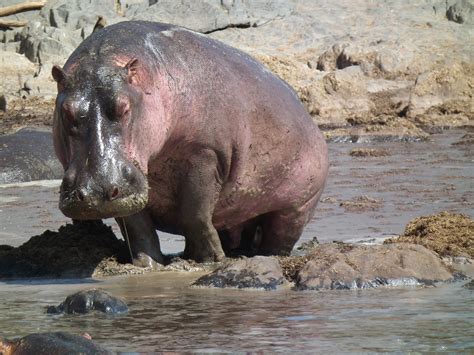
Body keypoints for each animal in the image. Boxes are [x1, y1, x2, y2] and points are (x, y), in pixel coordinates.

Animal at [51, 20, 326, 268]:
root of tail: (310, 120)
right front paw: (147, 265)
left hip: (297, 207)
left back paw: (264, 256)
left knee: (278, 237)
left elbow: (195, 212)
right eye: (66, 111)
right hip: (240, 209)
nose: (95, 191)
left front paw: (209, 260)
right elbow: (137, 225)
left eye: (124, 107)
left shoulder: (206, 153)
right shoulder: (131, 187)